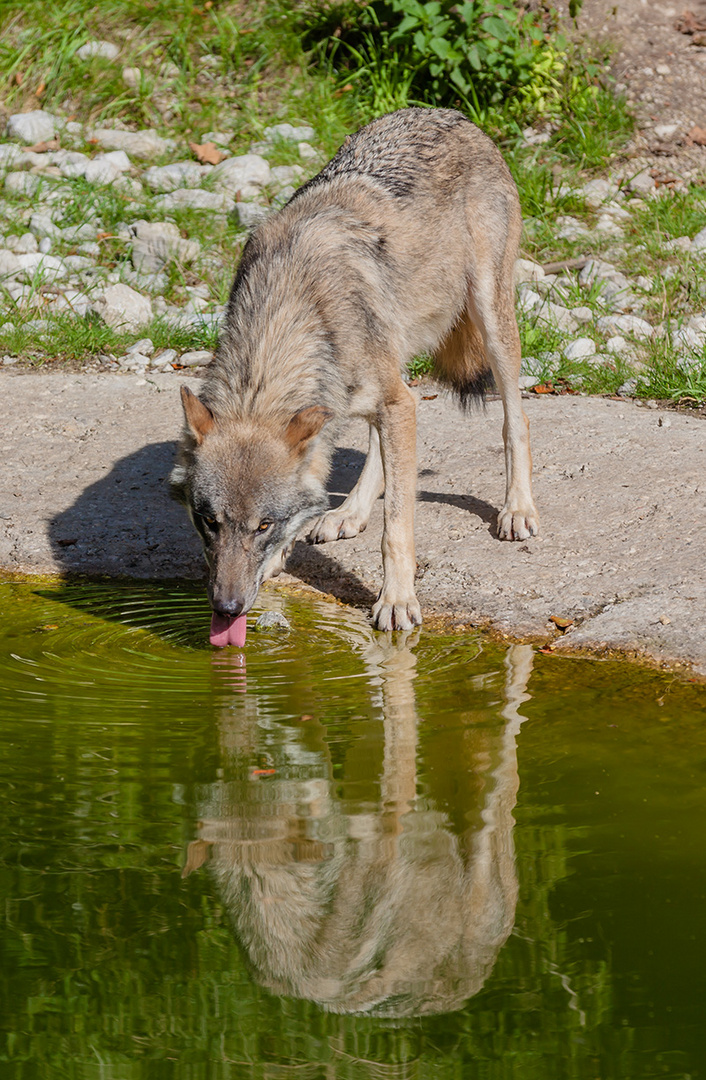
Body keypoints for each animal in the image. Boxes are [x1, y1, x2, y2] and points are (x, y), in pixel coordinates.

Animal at [172, 106, 541, 643]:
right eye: (208, 522)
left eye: (263, 525)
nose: (227, 606)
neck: (287, 317)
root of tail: (449, 114)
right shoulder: (371, 402)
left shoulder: (396, 403)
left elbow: (397, 528)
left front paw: (397, 602)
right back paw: (348, 513)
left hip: (489, 320)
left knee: (517, 419)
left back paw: (517, 510)